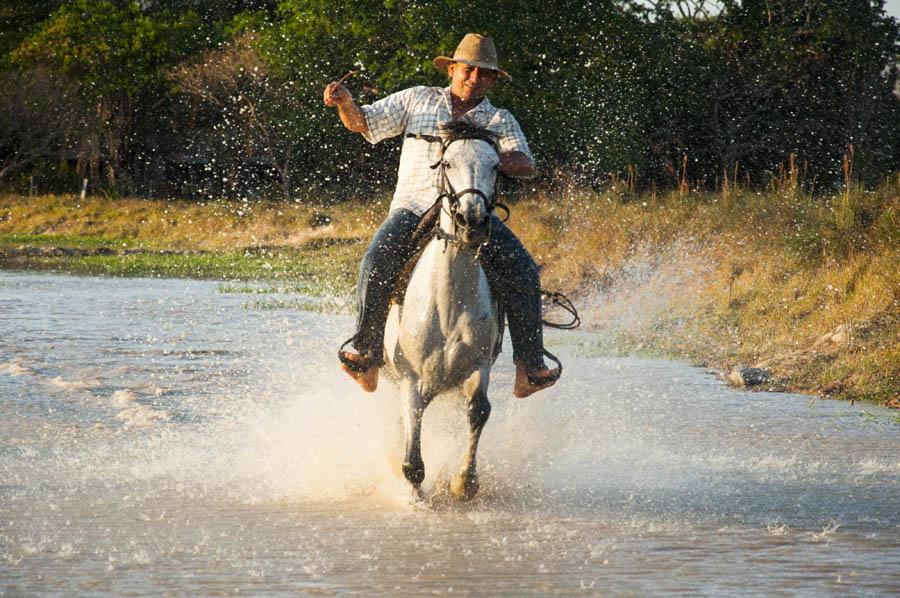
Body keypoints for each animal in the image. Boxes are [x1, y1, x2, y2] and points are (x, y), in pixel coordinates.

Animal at [384, 125, 502, 502]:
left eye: (496, 165)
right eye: (447, 163)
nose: (472, 221)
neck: (450, 303)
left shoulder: (477, 367)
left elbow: (479, 410)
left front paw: (464, 483)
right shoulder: (411, 378)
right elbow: (412, 450)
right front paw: (416, 497)